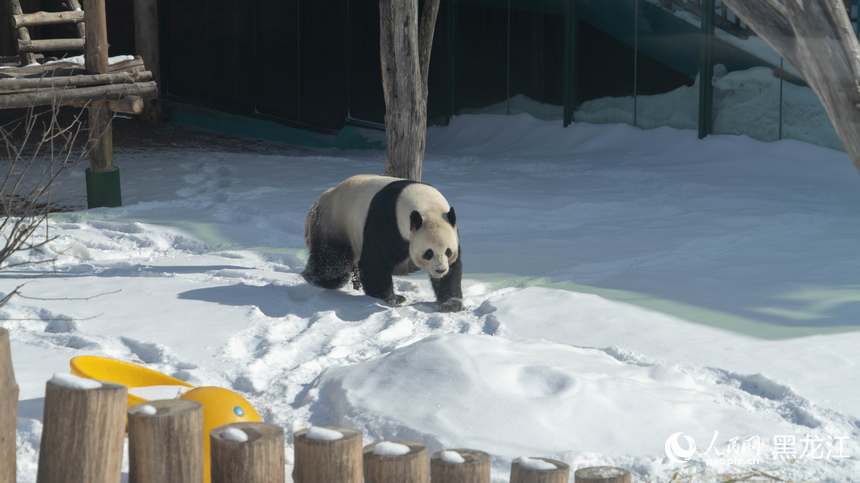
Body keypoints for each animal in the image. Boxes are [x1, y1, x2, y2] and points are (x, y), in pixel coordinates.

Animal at [302, 176, 464, 312]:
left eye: (448, 251)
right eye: (428, 253)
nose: (440, 270)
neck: (426, 206)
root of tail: (318, 202)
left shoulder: (452, 229)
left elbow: (454, 268)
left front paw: (452, 303)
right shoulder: (387, 220)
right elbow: (375, 261)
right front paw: (393, 298)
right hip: (335, 222)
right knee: (332, 259)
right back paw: (323, 280)